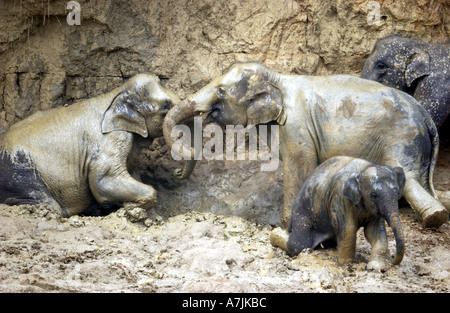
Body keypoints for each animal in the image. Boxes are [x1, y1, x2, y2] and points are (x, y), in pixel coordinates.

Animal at [0, 73, 186, 217]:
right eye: (166, 106)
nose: (178, 171)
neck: (116, 93)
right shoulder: (109, 140)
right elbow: (103, 181)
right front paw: (131, 209)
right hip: (19, 171)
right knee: (49, 205)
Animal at [165, 61, 450, 228]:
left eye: (221, 92)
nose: (176, 172)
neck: (277, 77)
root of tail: (424, 114)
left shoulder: (296, 126)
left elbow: (299, 166)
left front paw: (284, 227)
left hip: (403, 137)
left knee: (407, 177)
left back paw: (435, 217)